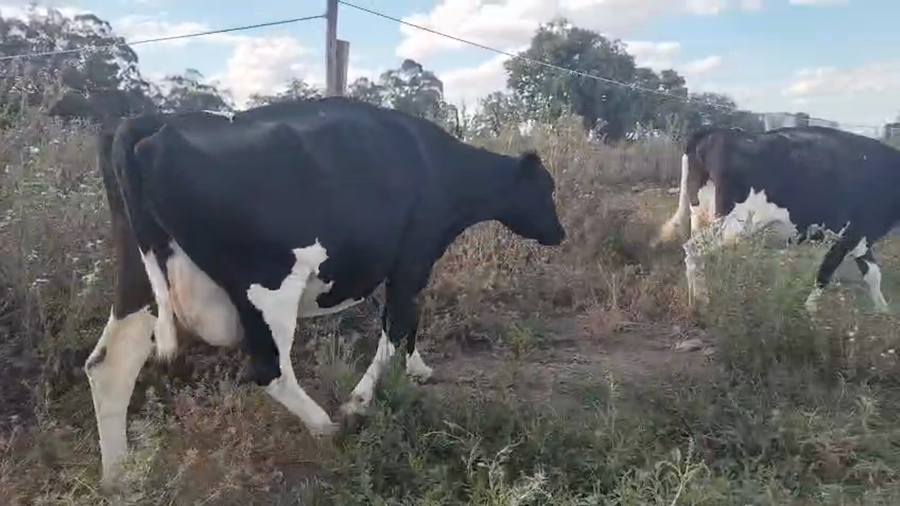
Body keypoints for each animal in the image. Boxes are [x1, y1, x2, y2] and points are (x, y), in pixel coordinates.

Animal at [84, 96, 566, 488]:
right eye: (546, 187)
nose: (560, 233)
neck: (439, 165)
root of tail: (149, 123)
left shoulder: (409, 265)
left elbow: (408, 322)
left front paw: (417, 369)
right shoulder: (412, 258)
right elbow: (397, 326)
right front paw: (359, 401)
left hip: (138, 282)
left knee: (109, 364)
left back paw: (119, 476)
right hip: (268, 285)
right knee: (270, 370)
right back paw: (329, 428)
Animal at [654, 125, 900, 313]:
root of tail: (716, 131)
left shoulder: (862, 238)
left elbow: (873, 275)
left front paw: (883, 312)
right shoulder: (850, 234)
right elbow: (825, 273)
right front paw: (809, 312)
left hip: (702, 213)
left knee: (696, 252)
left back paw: (696, 299)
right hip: (733, 222)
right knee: (693, 249)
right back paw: (700, 301)